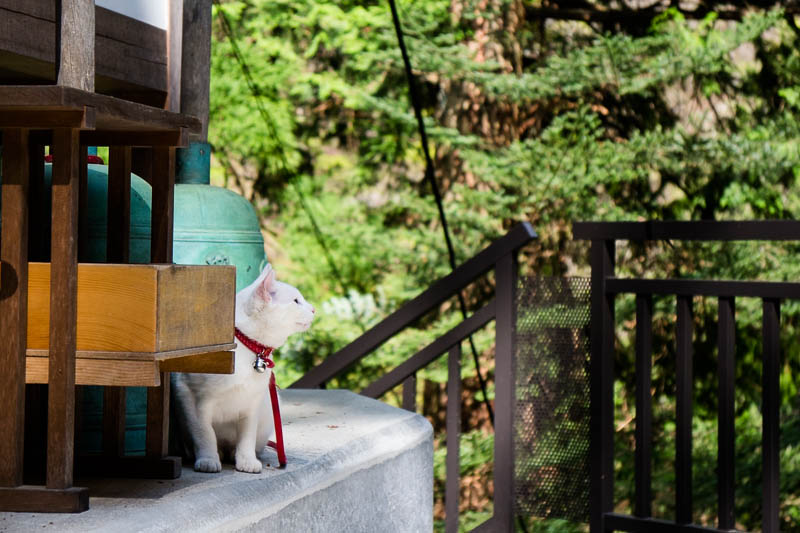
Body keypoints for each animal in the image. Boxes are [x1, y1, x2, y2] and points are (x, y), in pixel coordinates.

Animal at [172, 264, 316, 472]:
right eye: (296, 301)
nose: (314, 309)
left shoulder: (252, 403)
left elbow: (247, 435)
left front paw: (246, 460)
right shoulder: (191, 396)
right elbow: (204, 432)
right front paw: (208, 459)